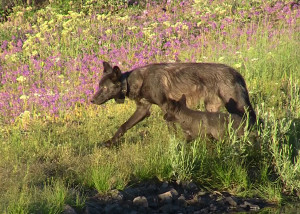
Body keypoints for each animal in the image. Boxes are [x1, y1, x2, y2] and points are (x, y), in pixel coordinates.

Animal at [91, 61, 255, 146]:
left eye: (104, 88)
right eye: (99, 86)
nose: (91, 100)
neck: (133, 82)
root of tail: (237, 73)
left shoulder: (166, 107)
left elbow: (171, 130)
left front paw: (174, 145)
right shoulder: (143, 110)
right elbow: (123, 126)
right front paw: (109, 143)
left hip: (236, 106)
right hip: (212, 108)